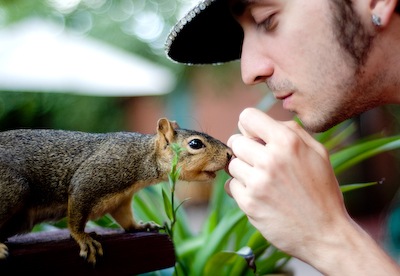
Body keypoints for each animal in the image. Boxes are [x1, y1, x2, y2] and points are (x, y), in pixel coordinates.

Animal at [0, 118, 231, 266]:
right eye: (195, 143)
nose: (229, 153)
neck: (143, 157)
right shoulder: (92, 177)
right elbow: (76, 213)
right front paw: (83, 238)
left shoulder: (121, 200)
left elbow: (125, 219)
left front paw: (142, 226)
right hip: (14, 189)